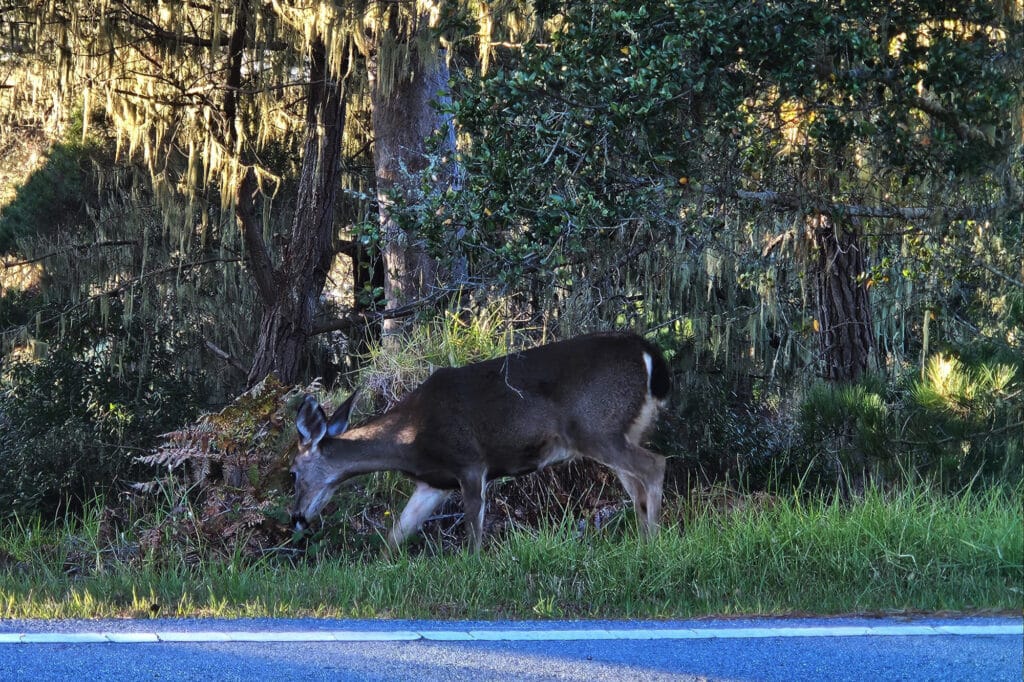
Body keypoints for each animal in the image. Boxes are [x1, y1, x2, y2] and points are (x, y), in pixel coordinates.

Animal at [290, 332, 670, 552]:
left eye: (292, 472)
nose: (296, 519)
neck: (411, 439)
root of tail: (649, 353)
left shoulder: (471, 462)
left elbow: (474, 530)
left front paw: (473, 564)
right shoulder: (433, 483)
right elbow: (396, 535)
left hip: (596, 428)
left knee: (655, 465)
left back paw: (653, 546)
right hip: (622, 430)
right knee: (636, 486)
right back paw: (641, 545)